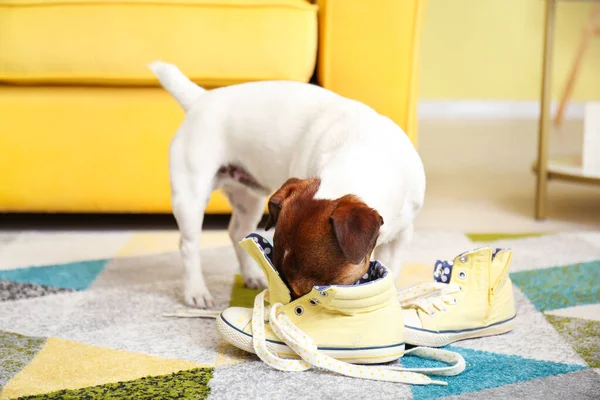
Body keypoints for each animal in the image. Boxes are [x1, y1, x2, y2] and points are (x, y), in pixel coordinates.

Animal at [148, 61, 424, 308]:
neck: (362, 159)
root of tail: (200, 98)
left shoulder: (401, 235)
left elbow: (393, 271)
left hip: (249, 198)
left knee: (237, 232)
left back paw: (251, 275)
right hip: (191, 195)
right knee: (189, 245)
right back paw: (196, 291)